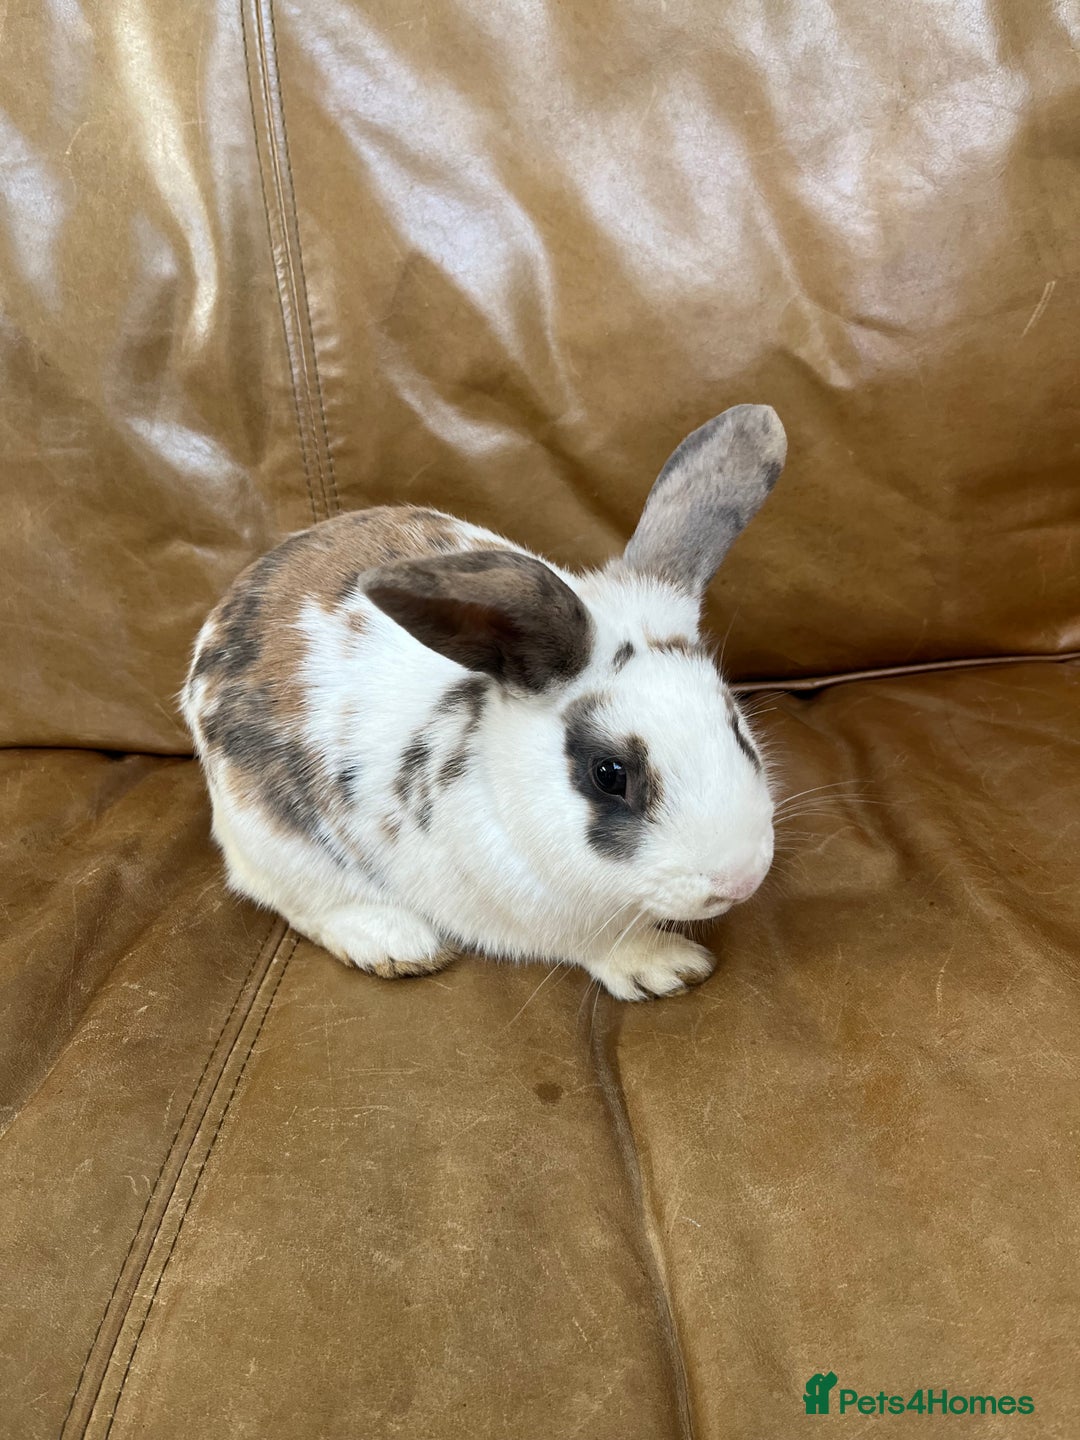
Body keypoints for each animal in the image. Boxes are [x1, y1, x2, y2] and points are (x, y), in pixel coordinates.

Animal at [181, 403, 786, 1001]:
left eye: (737, 728)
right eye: (608, 773)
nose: (739, 880)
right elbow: (603, 944)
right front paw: (669, 967)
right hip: (276, 842)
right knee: (294, 899)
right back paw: (398, 945)